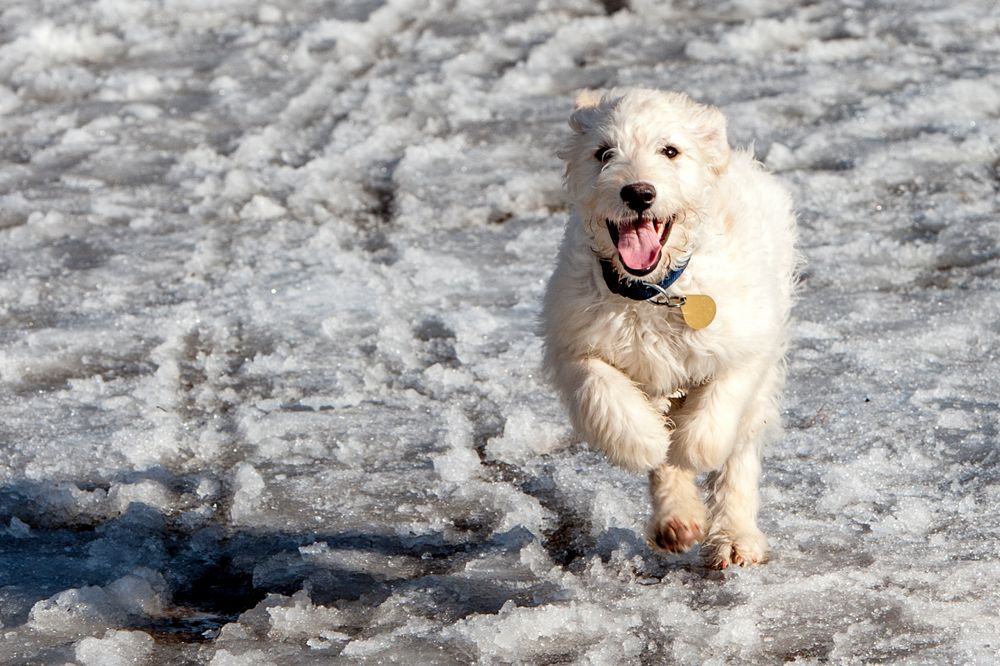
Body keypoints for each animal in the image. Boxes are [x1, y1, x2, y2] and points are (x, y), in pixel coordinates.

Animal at [540, 87, 796, 564]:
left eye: (670, 151)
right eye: (604, 153)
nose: (639, 193)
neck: (652, 293)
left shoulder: (748, 342)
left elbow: (718, 410)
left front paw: (695, 446)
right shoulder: (575, 342)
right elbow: (602, 389)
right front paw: (643, 442)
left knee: (741, 447)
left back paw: (735, 536)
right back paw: (677, 519)